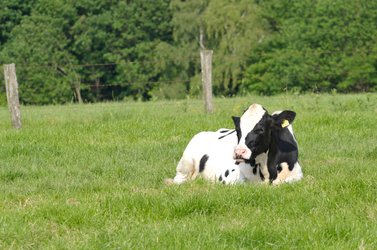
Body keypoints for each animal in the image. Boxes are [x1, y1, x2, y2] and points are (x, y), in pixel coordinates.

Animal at [165, 103, 302, 186]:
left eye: (261, 129)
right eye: (237, 129)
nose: (239, 152)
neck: (267, 169)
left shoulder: (298, 174)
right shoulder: (229, 175)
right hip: (185, 163)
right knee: (179, 179)